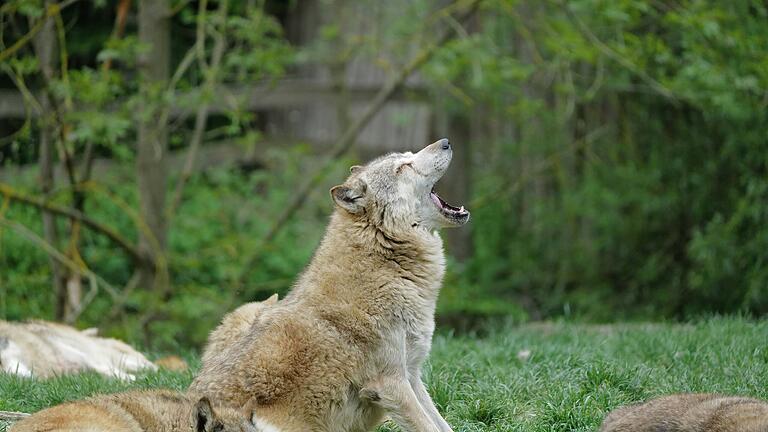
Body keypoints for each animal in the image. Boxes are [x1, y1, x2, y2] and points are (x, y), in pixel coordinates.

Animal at [190, 140, 468, 430]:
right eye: (402, 167)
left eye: (408, 156)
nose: (446, 142)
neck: (384, 262)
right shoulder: (391, 383)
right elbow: (429, 425)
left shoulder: (411, 374)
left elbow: (443, 425)